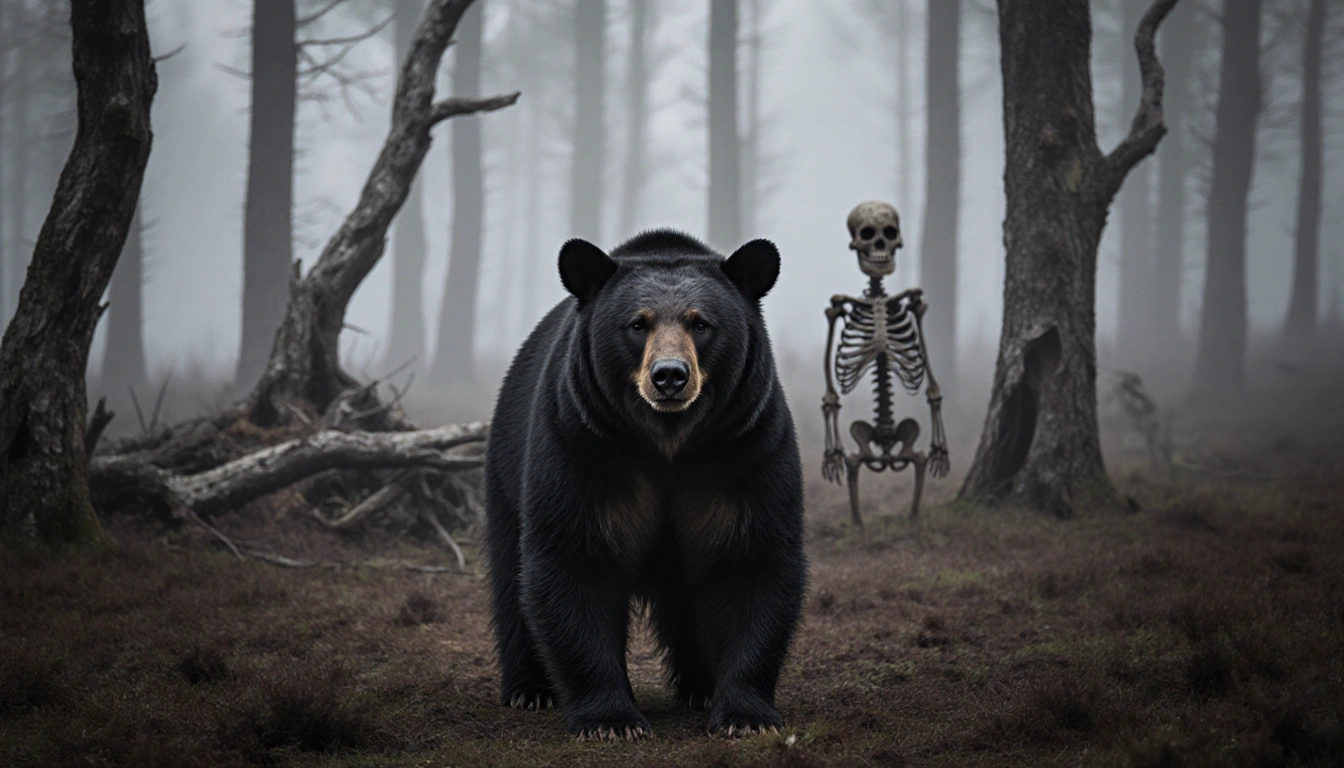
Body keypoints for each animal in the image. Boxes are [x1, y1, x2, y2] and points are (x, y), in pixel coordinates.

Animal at [483, 229, 807, 740]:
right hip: (506, 472)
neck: (667, 442)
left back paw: (701, 686)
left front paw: (745, 715)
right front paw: (611, 720)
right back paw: (530, 689)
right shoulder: (581, 444)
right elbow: (575, 560)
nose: (670, 375)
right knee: (509, 576)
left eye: (700, 323)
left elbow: (751, 561)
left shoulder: (746, 448)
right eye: (638, 324)